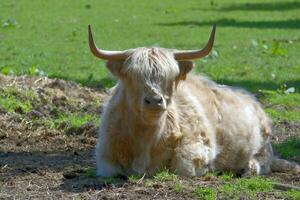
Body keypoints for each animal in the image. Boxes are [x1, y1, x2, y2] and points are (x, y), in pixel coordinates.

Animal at [88, 24, 298, 177]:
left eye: (171, 76)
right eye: (132, 76)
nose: (154, 101)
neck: (145, 141)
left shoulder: (198, 147)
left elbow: (184, 167)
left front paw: (209, 168)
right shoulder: (106, 161)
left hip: (263, 143)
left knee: (263, 161)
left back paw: (247, 168)